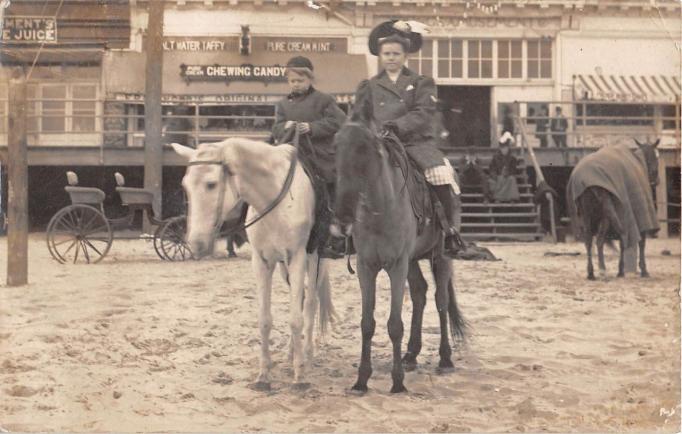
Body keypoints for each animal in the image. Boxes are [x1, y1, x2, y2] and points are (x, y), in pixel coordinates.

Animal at [173, 140, 334, 390]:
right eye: (185, 186)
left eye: (211, 184)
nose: (196, 244)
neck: (275, 200)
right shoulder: (261, 262)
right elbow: (265, 320)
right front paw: (264, 375)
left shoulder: (297, 257)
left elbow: (296, 319)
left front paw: (299, 376)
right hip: (284, 268)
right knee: (302, 301)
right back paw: (291, 353)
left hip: (315, 259)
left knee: (310, 303)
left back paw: (306, 355)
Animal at [328, 117, 464, 396]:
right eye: (336, 149)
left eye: (365, 151)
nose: (342, 219)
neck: (381, 209)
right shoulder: (366, 267)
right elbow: (367, 324)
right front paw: (362, 380)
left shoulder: (396, 267)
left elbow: (394, 324)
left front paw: (397, 381)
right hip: (412, 261)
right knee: (420, 293)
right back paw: (411, 355)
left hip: (440, 257)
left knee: (441, 300)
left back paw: (445, 359)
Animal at [568, 140, 660, 282]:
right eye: (656, 159)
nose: (656, 181)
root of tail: (585, 181)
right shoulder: (632, 216)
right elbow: (640, 242)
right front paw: (643, 270)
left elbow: (623, 242)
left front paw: (621, 270)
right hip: (606, 214)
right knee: (600, 241)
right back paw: (602, 270)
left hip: (587, 215)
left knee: (588, 241)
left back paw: (591, 273)